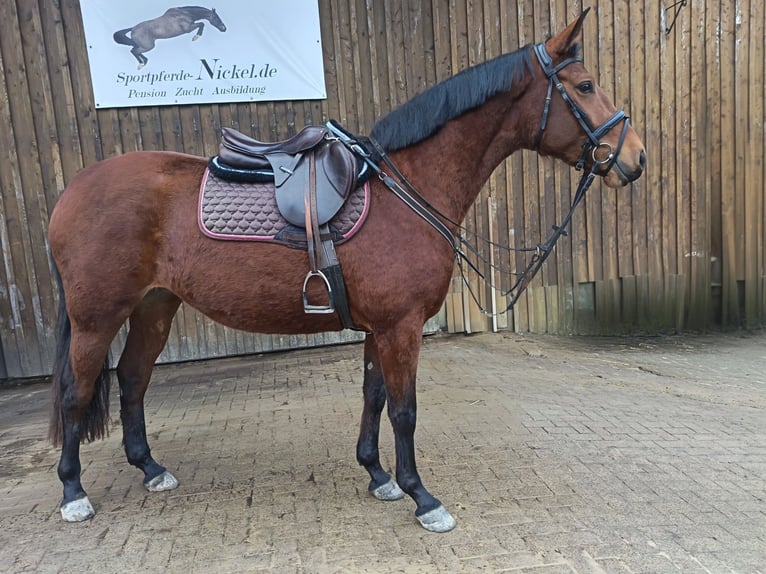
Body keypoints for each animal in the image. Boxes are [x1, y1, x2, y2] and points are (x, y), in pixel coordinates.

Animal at [48, 10, 645, 531]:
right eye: (585, 86)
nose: (635, 159)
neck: (408, 189)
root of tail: (72, 192)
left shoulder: (380, 327)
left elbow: (374, 397)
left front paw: (378, 475)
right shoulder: (402, 327)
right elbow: (404, 410)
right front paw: (422, 497)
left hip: (154, 306)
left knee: (132, 379)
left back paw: (150, 468)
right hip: (96, 318)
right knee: (78, 392)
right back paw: (73, 492)